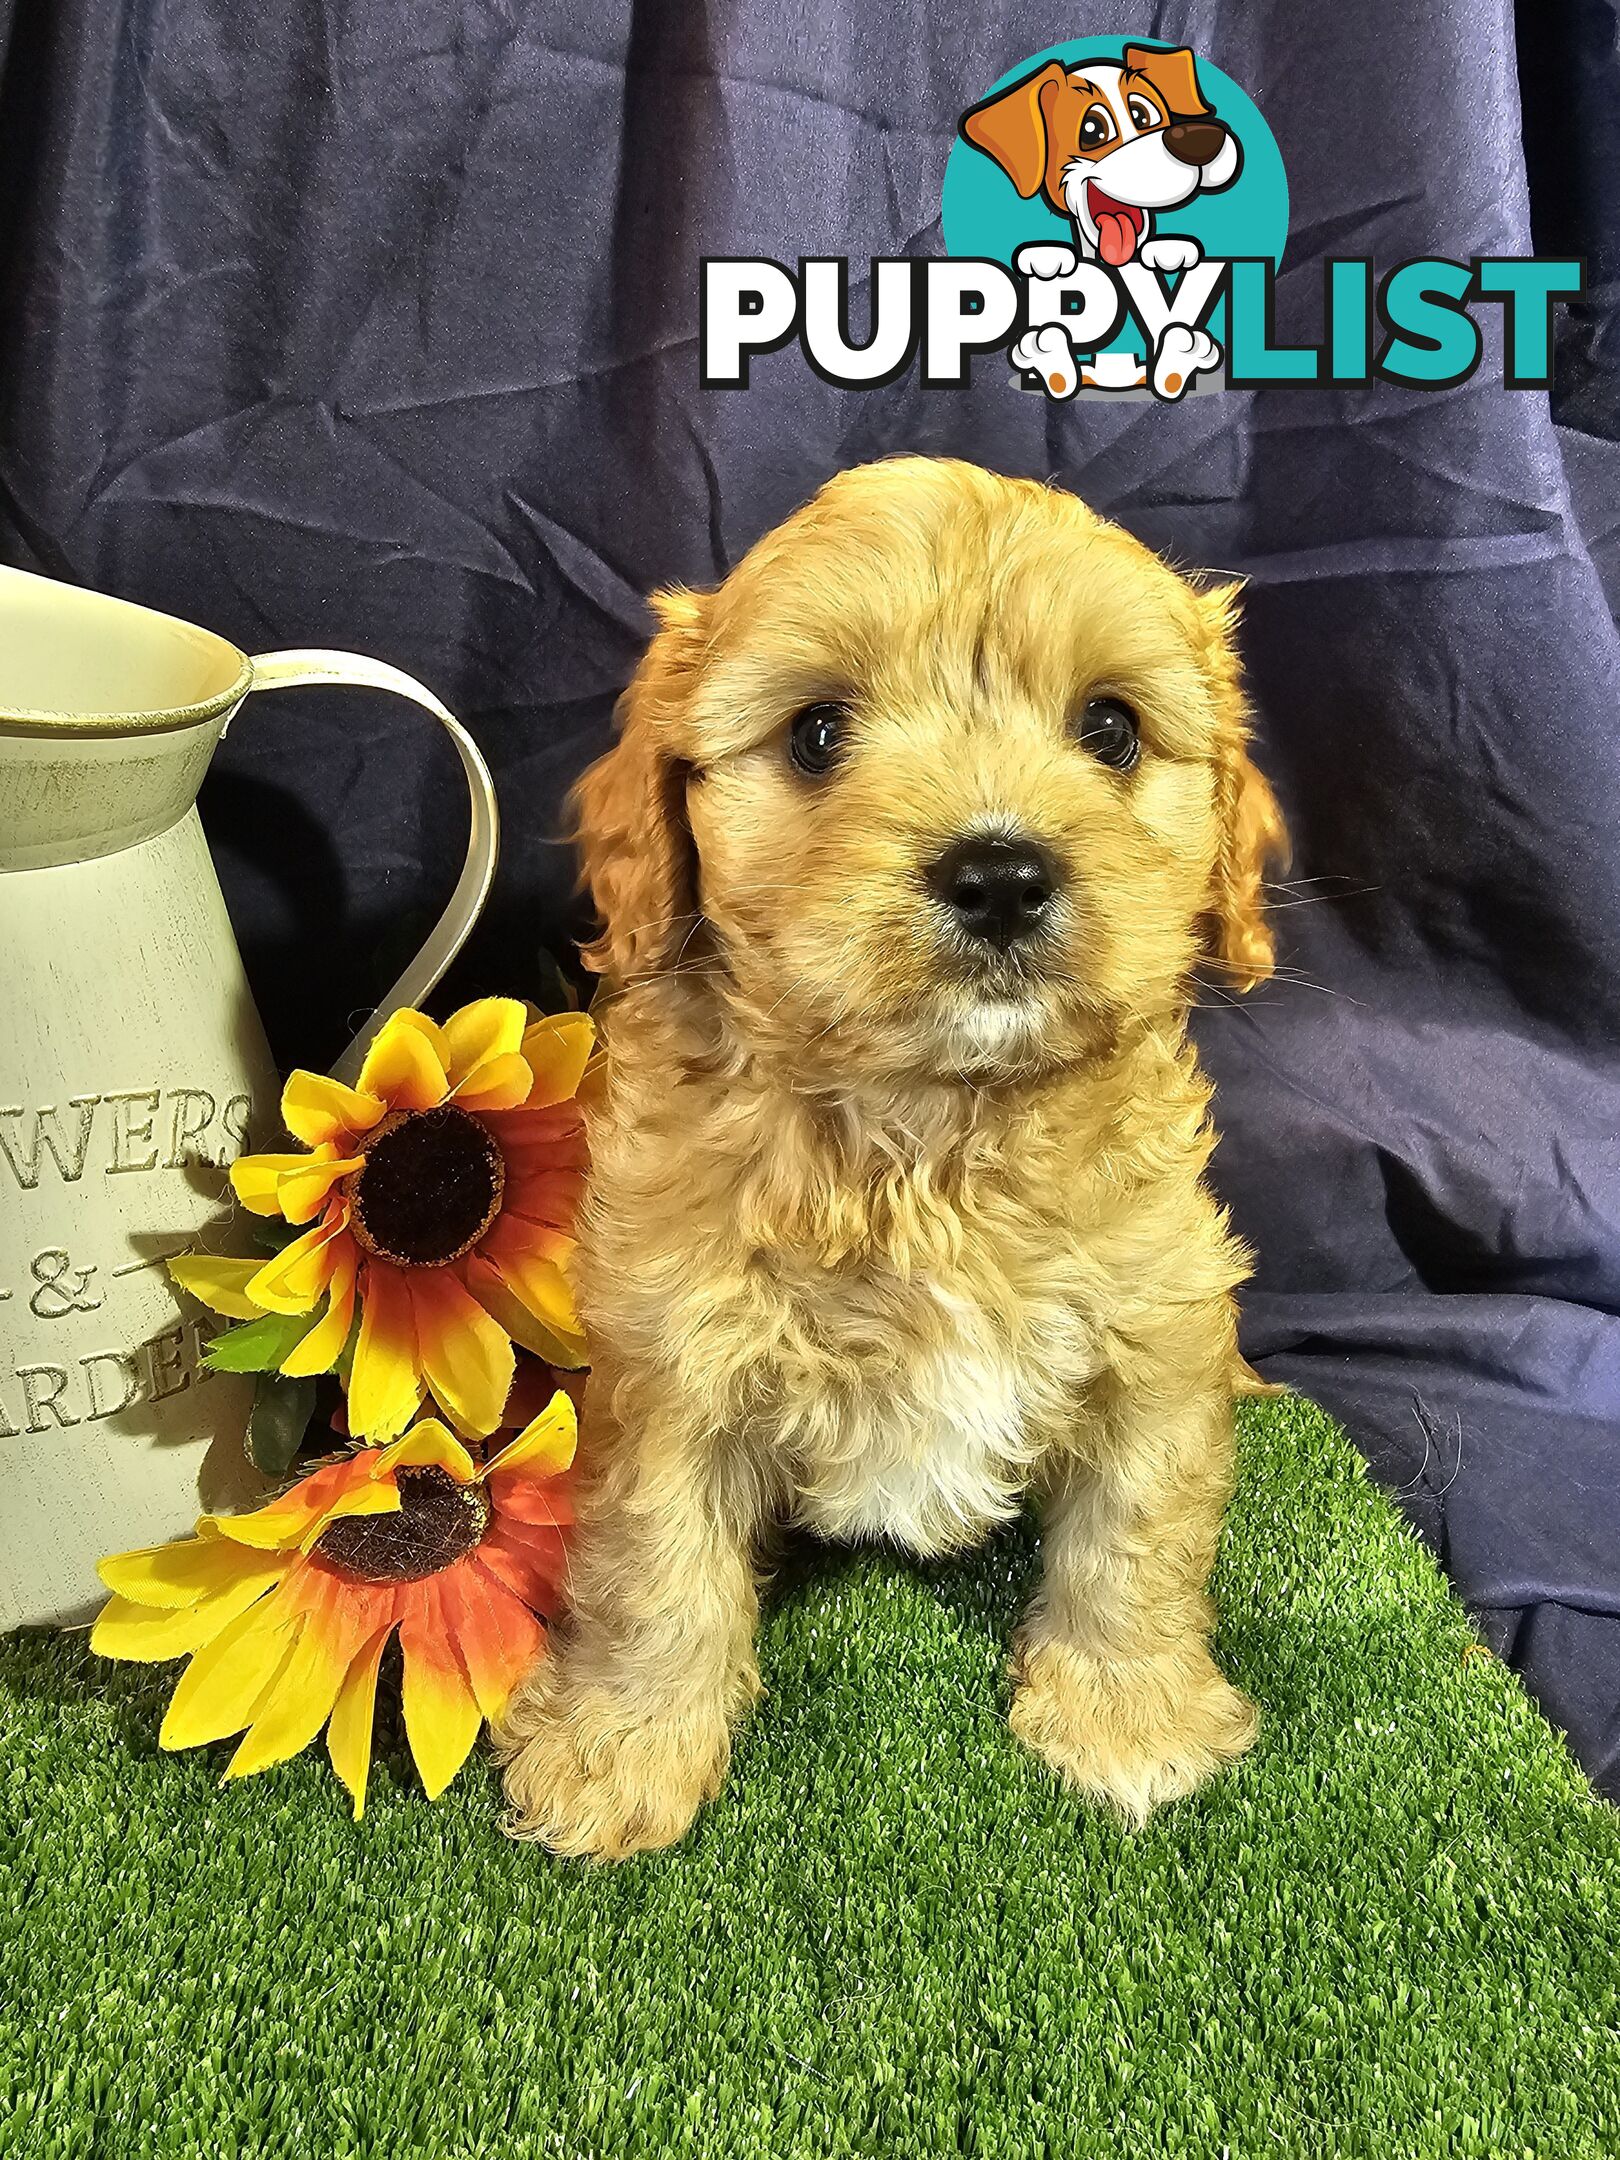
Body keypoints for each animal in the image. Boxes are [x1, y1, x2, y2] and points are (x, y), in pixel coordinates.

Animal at [501, 455, 1287, 1857]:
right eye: (817, 733)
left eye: (1112, 729)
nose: (1000, 872)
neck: (934, 1133)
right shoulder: (672, 1356)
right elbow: (653, 1566)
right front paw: (618, 1752)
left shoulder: (1159, 1326)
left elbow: (1138, 1532)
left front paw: (1126, 1718)